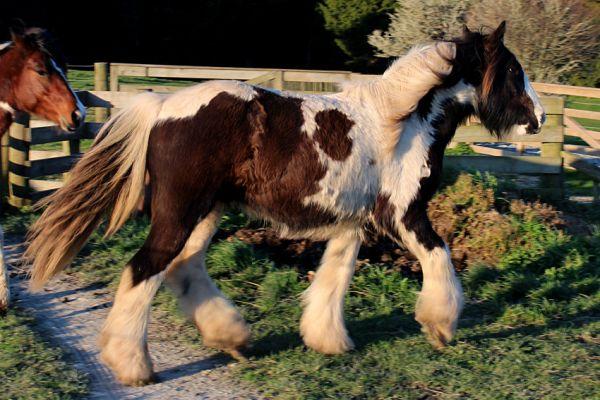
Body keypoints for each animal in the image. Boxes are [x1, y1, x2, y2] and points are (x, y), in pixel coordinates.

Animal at [27, 22, 544, 388]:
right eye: (513, 72)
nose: (538, 118)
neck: (404, 120)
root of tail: (161, 105)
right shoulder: (403, 216)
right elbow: (441, 259)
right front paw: (440, 326)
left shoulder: (351, 225)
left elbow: (335, 278)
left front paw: (328, 340)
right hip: (181, 212)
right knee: (144, 269)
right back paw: (132, 365)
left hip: (207, 211)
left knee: (183, 267)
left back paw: (231, 339)